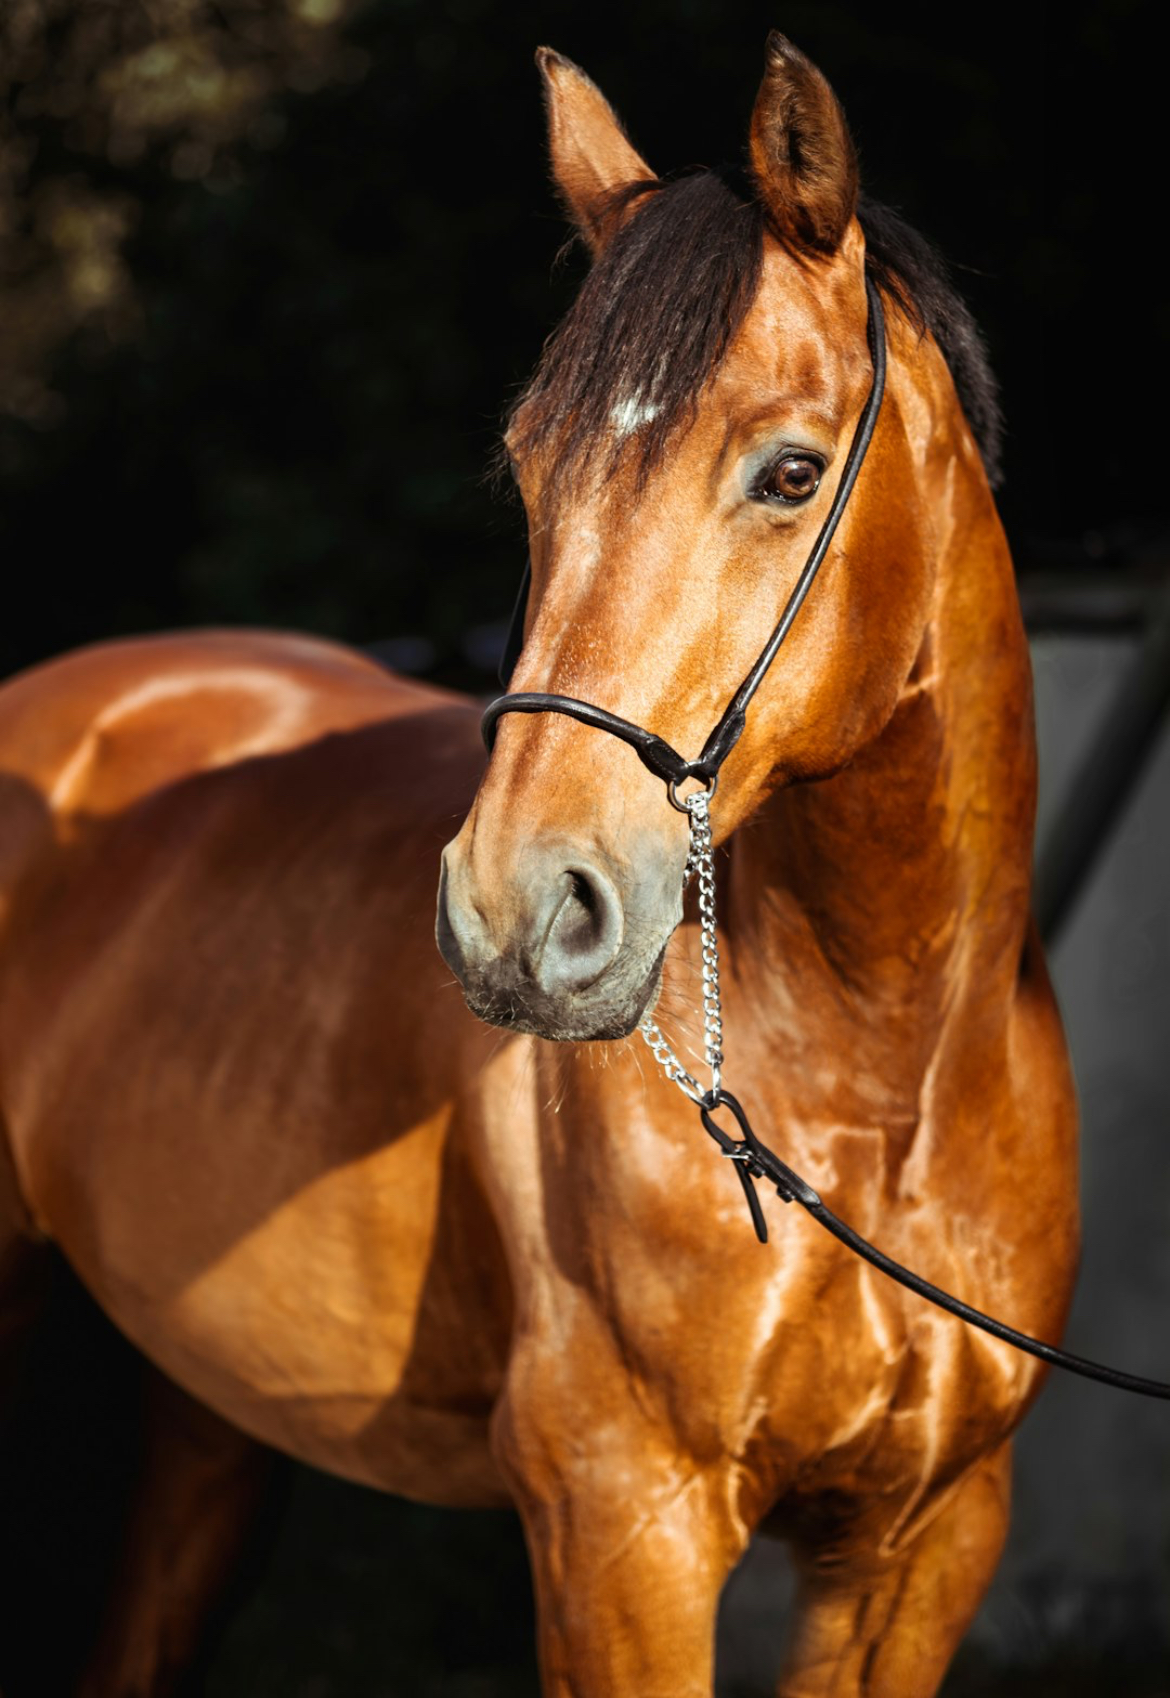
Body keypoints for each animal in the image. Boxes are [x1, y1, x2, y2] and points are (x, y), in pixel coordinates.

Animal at [0, 33, 1078, 1698]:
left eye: (789, 472)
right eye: (526, 471)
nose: (513, 916)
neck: (875, 1088)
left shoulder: (923, 1542)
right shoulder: (622, 1528)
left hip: (210, 1420)